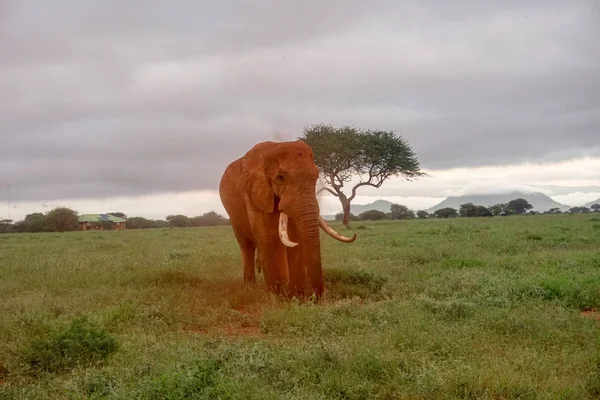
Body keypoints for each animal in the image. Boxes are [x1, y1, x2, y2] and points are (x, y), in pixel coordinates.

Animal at [218, 139, 354, 298]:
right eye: (280, 178)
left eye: (316, 177)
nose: (316, 298)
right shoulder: (253, 194)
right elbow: (266, 239)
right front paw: (276, 297)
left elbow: (295, 240)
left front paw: (296, 296)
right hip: (234, 215)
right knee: (247, 245)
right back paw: (250, 287)